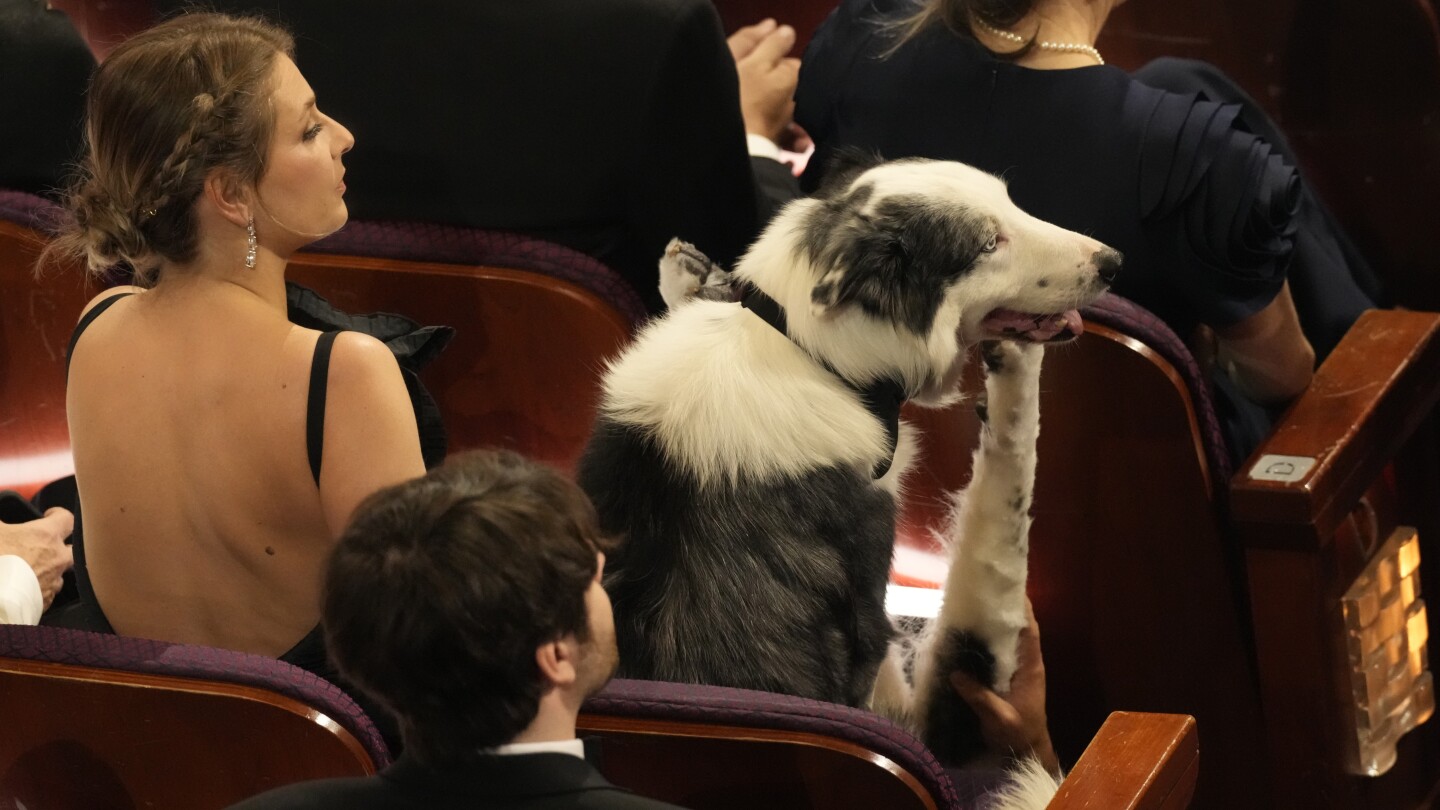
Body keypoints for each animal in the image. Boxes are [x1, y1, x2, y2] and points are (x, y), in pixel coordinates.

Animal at [578, 154, 1117, 795]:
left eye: (1012, 204)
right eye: (989, 243)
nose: (1113, 263)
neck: (804, 350)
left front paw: (688, 280)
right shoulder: (911, 681)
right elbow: (1007, 492)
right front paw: (1017, 372)